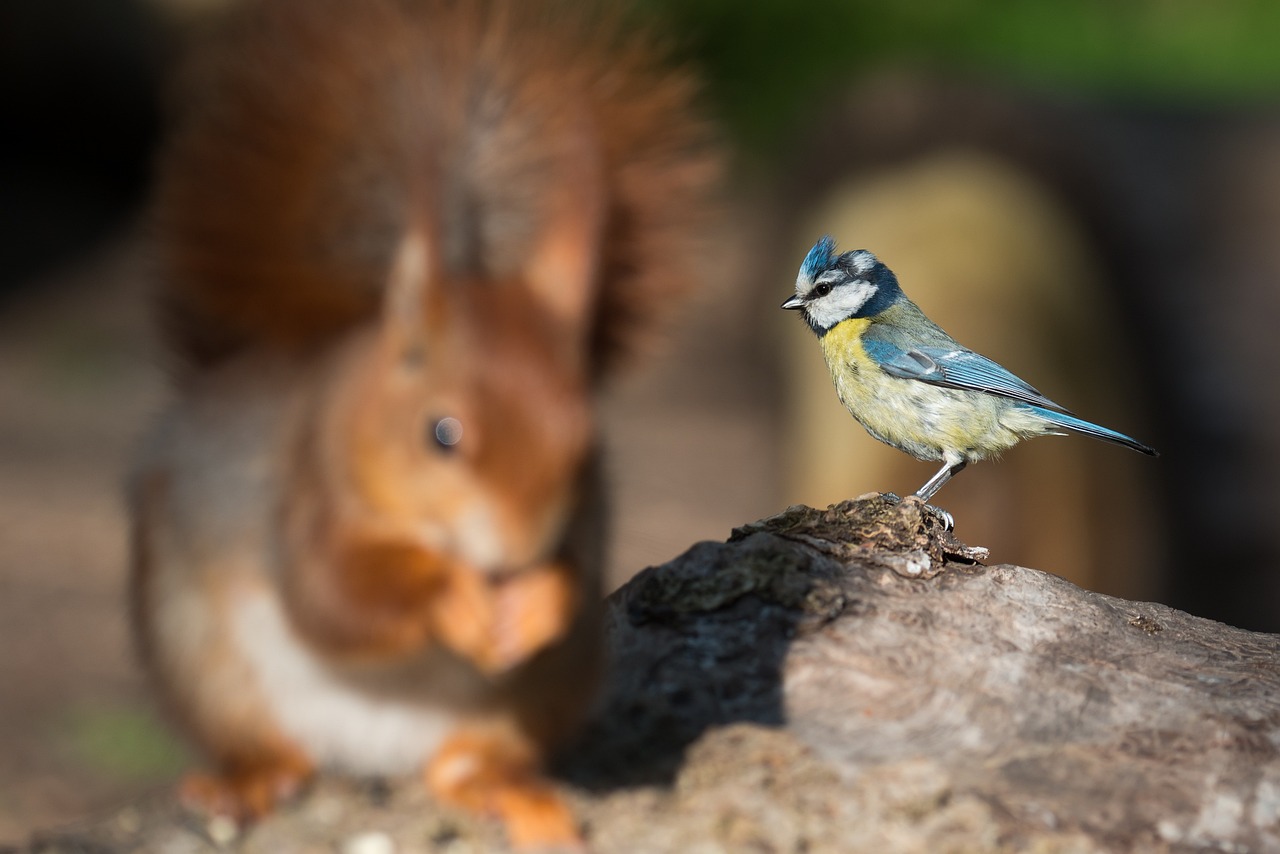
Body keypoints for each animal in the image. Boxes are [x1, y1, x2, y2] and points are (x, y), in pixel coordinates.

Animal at [128, 0, 721, 850]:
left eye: (586, 445)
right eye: (442, 434)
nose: (514, 554)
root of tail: (368, 749)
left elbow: (575, 576)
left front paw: (542, 599)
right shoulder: (308, 493)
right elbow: (333, 594)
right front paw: (450, 597)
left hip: (541, 693)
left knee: (465, 764)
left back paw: (506, 789)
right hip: (194, 647)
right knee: (263, 740)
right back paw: (249, 778)